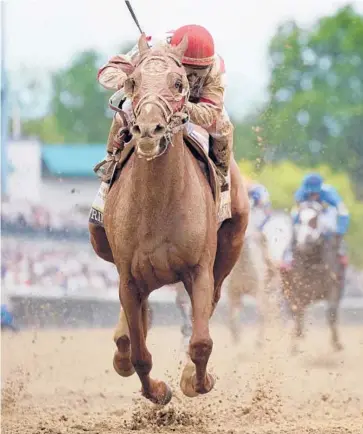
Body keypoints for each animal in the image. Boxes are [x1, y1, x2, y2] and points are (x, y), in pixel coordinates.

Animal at [90, 35, 249, 406]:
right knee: (132, 328)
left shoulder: (199, 269)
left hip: (231, 247)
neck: (157, 206)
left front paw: (195, 380)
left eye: (178, 84)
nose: (149, 129)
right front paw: (159, 391)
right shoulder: (129, 278)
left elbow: (201, 341)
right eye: (133, 82)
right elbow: (139, 355)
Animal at [282, 202, 344, 350]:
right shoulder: (296, 289)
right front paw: (295, 345)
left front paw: (337, 344)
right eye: (299, 219)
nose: (306, 240)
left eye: (314, 220)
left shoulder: (334, 284)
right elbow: (297, 313)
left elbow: (332, 312)